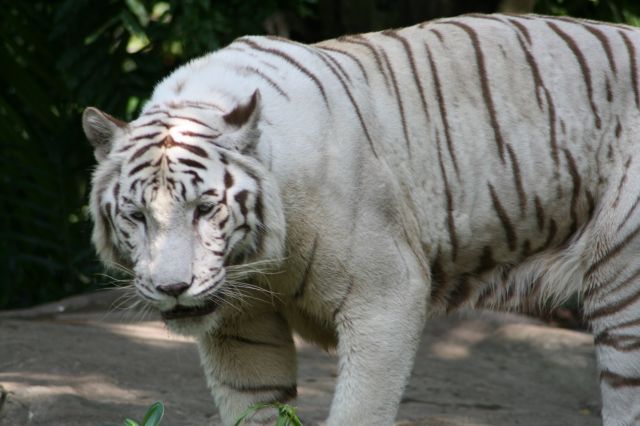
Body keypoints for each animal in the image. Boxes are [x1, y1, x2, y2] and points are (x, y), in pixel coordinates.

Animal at [82, 13, 640, 426]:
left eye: (204, 208)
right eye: (136, 215)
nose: (173, 288)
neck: (258, 262)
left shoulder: (385, 296)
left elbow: (360, 408)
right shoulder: (239, 326)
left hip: (623, 285)